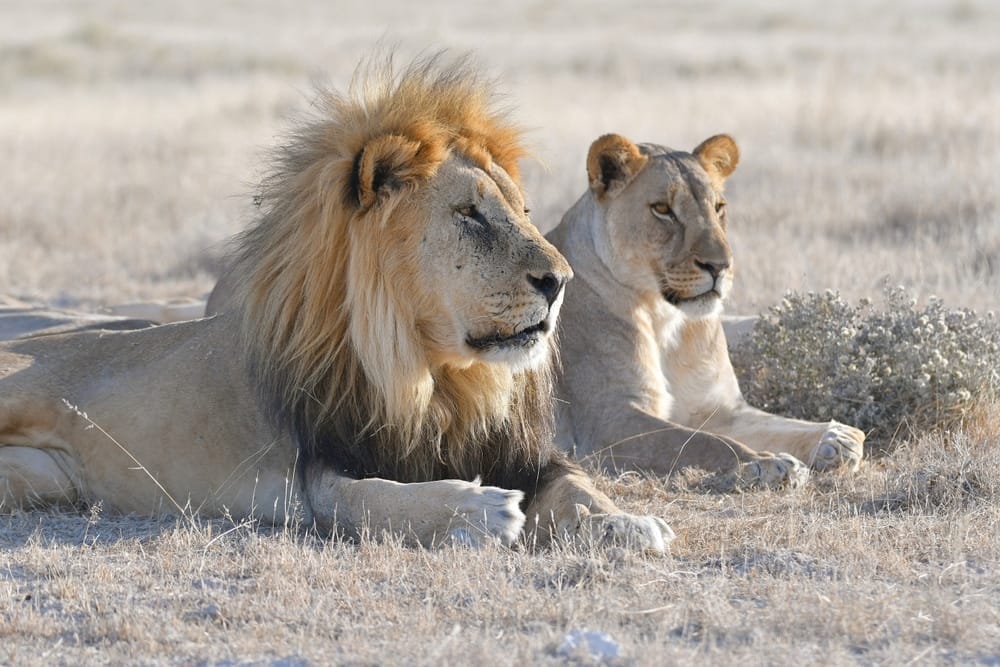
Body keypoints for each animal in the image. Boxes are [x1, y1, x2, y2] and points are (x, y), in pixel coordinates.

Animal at [0, 56, 672, 553]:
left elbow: (580, 485)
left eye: (524, 211)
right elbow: (380, 499)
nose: (561, 280)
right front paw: (479, 509)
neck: (440, 379)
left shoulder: (525, 452)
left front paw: (625, 523)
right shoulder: (319, 472)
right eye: (470, 214)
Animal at [546, 133, 866, 485]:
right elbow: (705, 443)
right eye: (662, 209)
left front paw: (836, 438)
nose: (720, 266)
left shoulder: (720, 409)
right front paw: (765, 463)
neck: (664, 319)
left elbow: (775, 424)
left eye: (718, 207)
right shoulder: (609, 421)